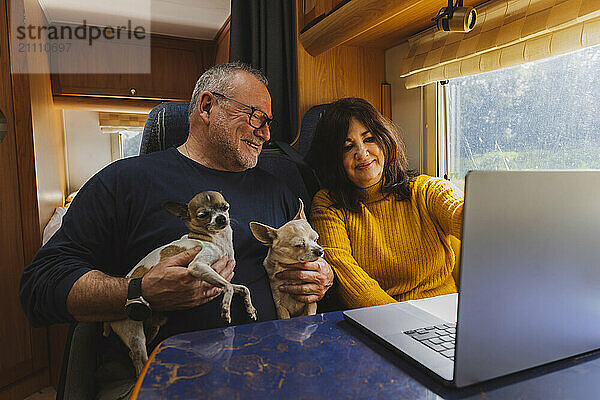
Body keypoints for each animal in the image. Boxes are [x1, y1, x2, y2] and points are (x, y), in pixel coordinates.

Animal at [104, 191, 256, 376]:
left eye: (224, 207)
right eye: (203, 215)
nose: (221, 218)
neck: (216, 239)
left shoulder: (217, 276)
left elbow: (242, 288)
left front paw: (250, 308)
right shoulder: (197, 266)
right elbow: (228, 288)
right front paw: (225, 307)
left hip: (152, 328)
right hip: (134, 332)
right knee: (138, 355)